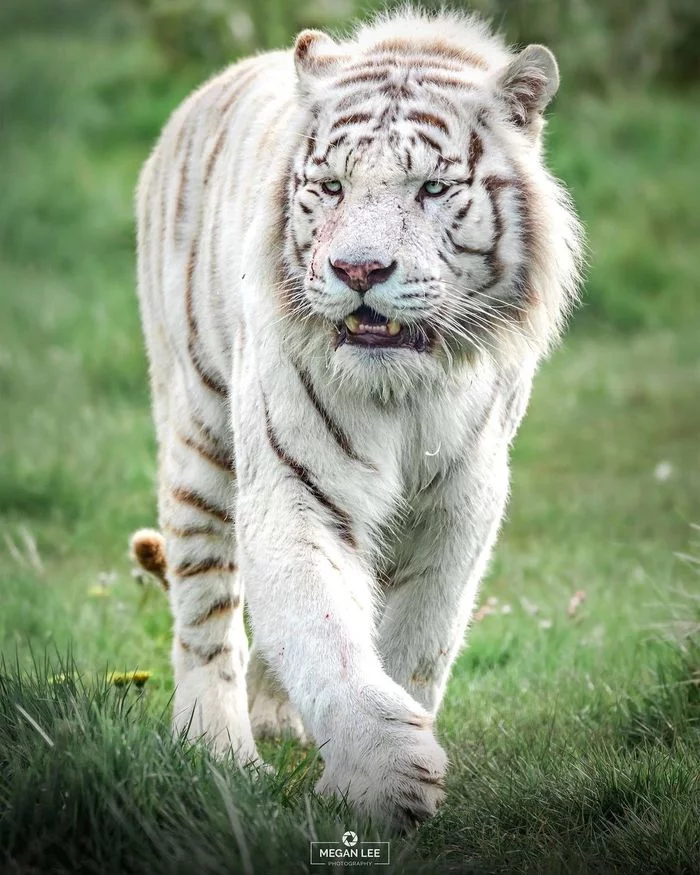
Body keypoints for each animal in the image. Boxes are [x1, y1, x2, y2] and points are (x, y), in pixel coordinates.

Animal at [131, 6, 580, 828]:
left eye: (433, 187)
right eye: (332, 187)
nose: (359, 270)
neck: (405, 392)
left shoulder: (460, 500)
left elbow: (415, 638)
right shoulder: (294, 486)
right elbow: (325, 632)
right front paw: (384, 777)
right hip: (200, 440)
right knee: (206, 615)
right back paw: (218, 747)